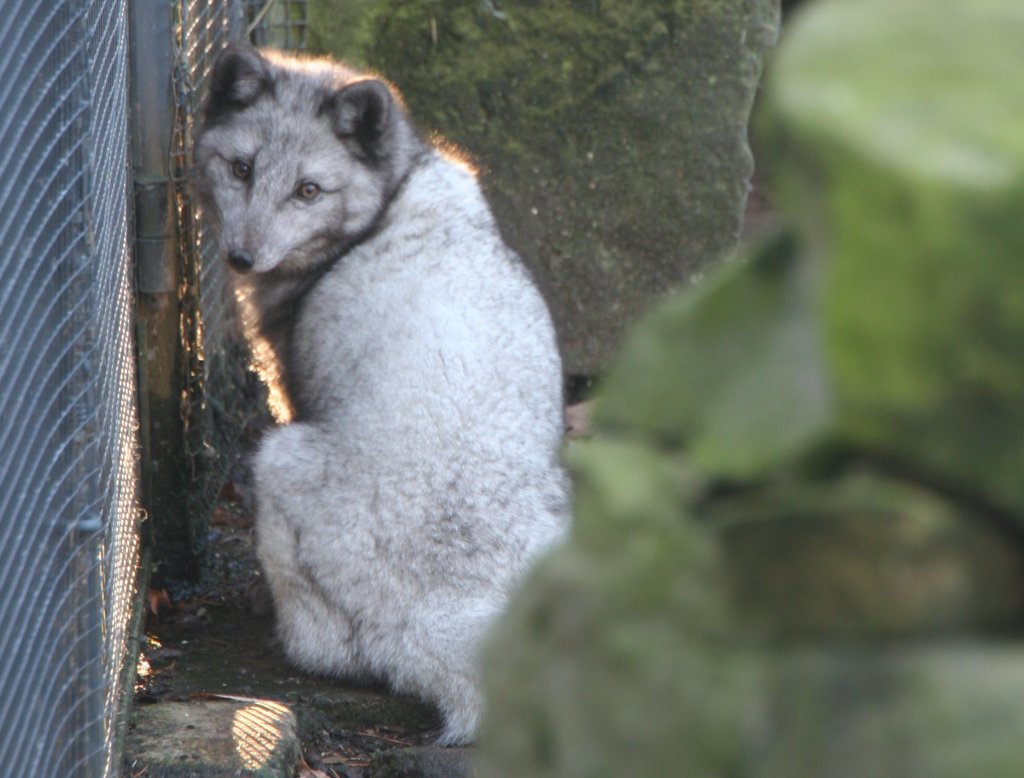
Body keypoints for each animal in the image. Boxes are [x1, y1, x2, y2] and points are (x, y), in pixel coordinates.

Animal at [195, 45, 573, 745]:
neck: (390, 199)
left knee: (333, 651)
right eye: (241, 168)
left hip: (277, 457)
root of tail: (439, 609)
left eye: (308, 190)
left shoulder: (294, 389)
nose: (242, 259)